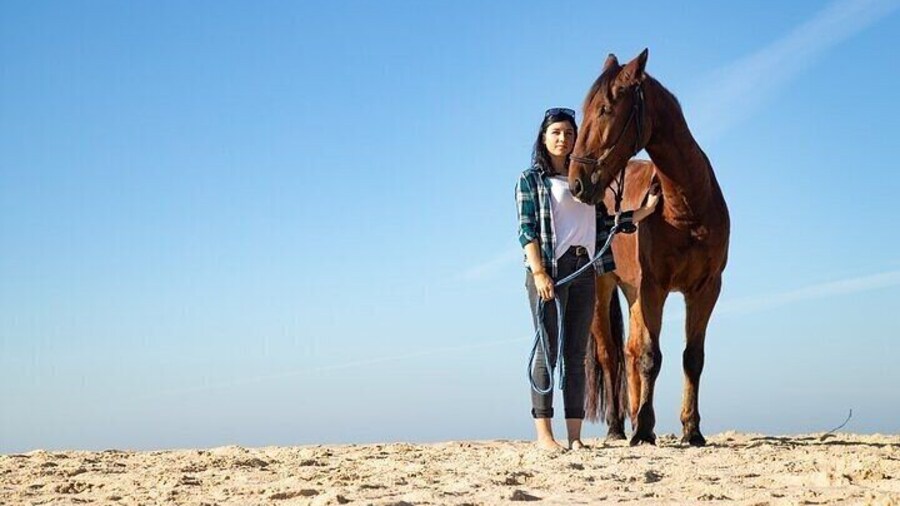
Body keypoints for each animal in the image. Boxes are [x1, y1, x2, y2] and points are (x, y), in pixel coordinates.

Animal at [570, 49, 730, 446]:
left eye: (606, 108)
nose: (576, 183)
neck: (685, 208)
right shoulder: (654, 287)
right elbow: (649, 357)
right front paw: (642, 429)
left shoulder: (706, 289)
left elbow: (692, 358)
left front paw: (692, 429)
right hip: (603, 289)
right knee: (612, 356)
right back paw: (617, 427)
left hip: (632, 291)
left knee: (628, 351)